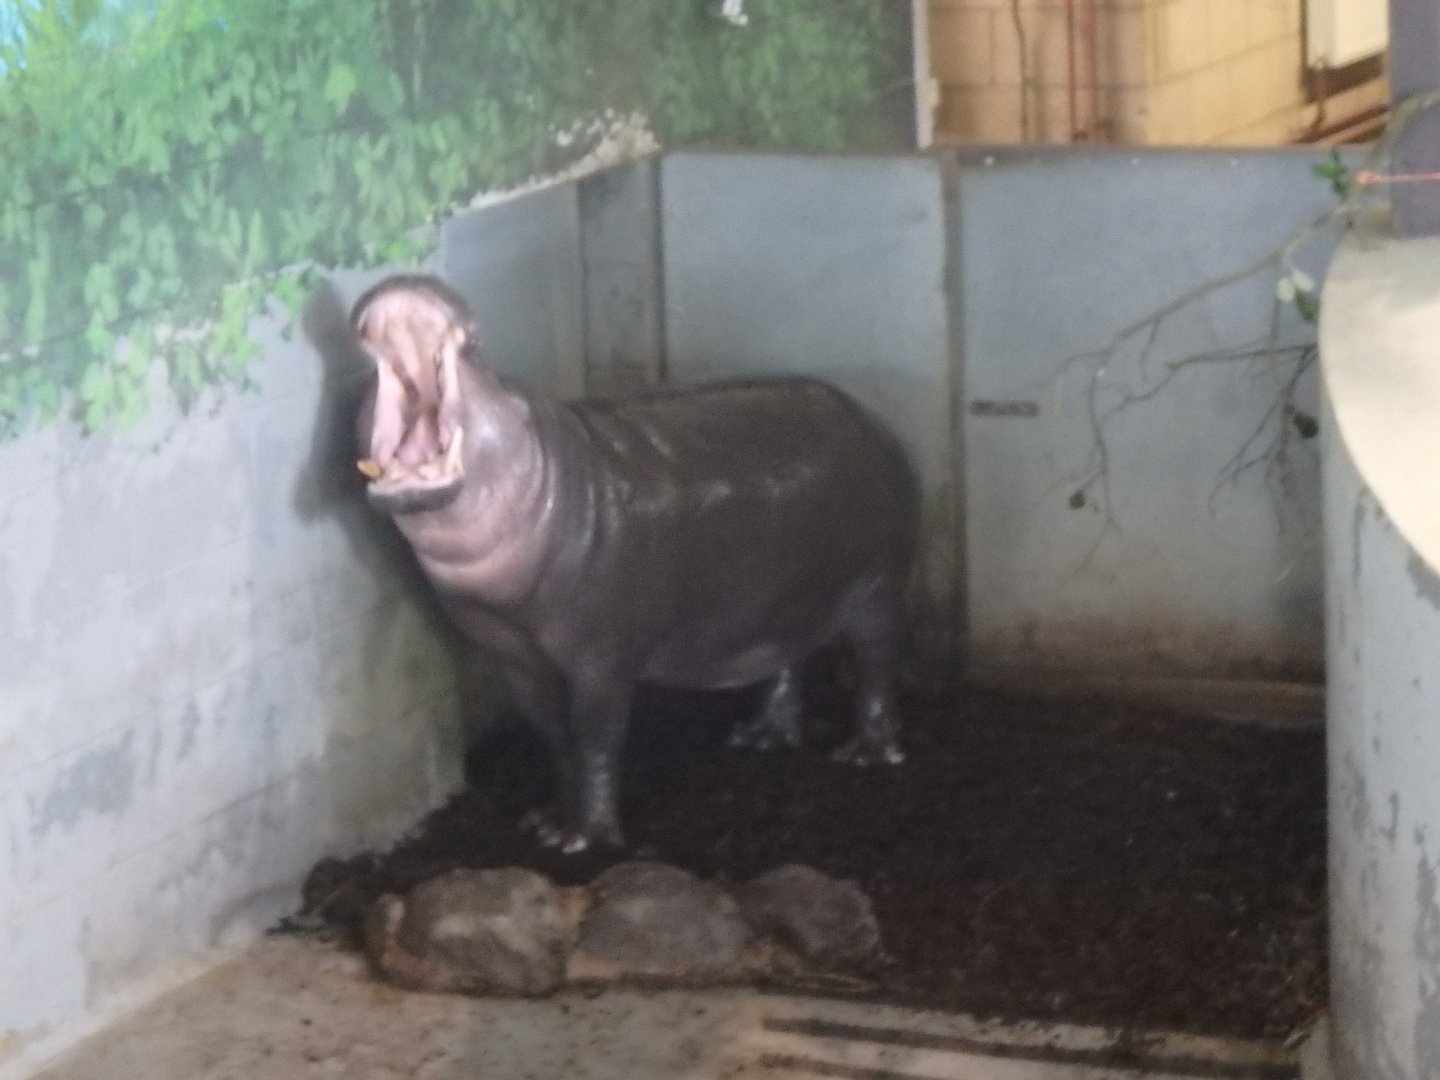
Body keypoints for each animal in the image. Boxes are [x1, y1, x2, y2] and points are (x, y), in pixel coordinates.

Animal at [349, 273, 919, 852]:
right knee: (786, 658)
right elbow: (553, 737)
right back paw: (762, 738)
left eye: (480, 355)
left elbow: (595, 740)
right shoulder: (515, 658)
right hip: (782, 598)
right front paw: (551, 824)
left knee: (877, 661)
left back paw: (867, 754)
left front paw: (590, 839)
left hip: (878, 583)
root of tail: (870, 417)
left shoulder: (602, 658)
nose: (408, 277)